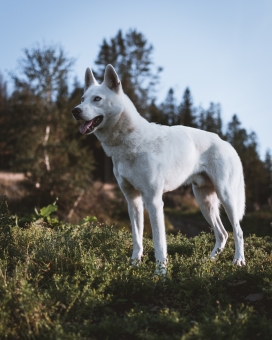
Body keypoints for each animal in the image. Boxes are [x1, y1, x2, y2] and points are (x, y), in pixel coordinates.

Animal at [71, 64, 245, 274]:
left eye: (97, 99)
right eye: (82, 99)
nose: (75, 111)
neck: (128, 141)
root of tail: (227, 144)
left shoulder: (154, 201)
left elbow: (159, 243)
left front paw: (160, 273)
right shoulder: (133, 201)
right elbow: (137, 239)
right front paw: (133, 266)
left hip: (226, 198)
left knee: (238, 231)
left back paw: (238, 261)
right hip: (204, 202)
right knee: (222, 234)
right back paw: (206, 263)